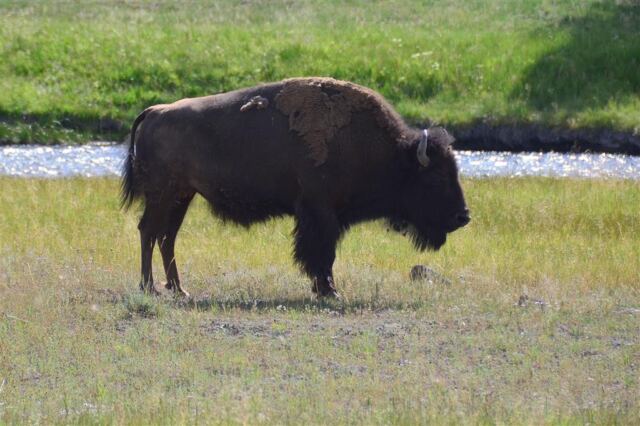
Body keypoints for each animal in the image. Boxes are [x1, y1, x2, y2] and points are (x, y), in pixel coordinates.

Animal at [121, 77, 470, 298]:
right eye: (436, 177)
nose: (463, 216)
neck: (387, 152)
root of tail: (155, 111)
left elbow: (322, 254)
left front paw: (325, 289)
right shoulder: (320, 213)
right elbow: (321, 254)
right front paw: (330, 292)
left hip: (181, 196)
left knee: (166, 237)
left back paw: (179, 289)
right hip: (163, 194)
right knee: (148, 231)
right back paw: (148, 287)